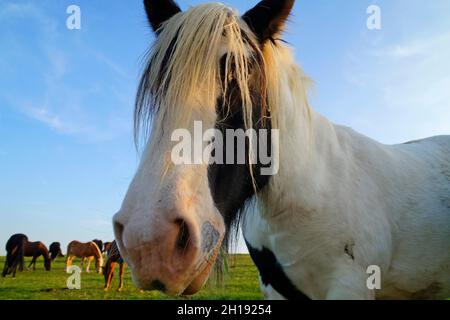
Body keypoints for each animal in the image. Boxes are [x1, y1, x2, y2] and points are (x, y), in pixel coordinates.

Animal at [112, 0, 450, 300]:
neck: (309, 189)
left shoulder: (350, 286)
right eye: (159, 85)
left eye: (241, 73)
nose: (150, 242)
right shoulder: (275, 288)